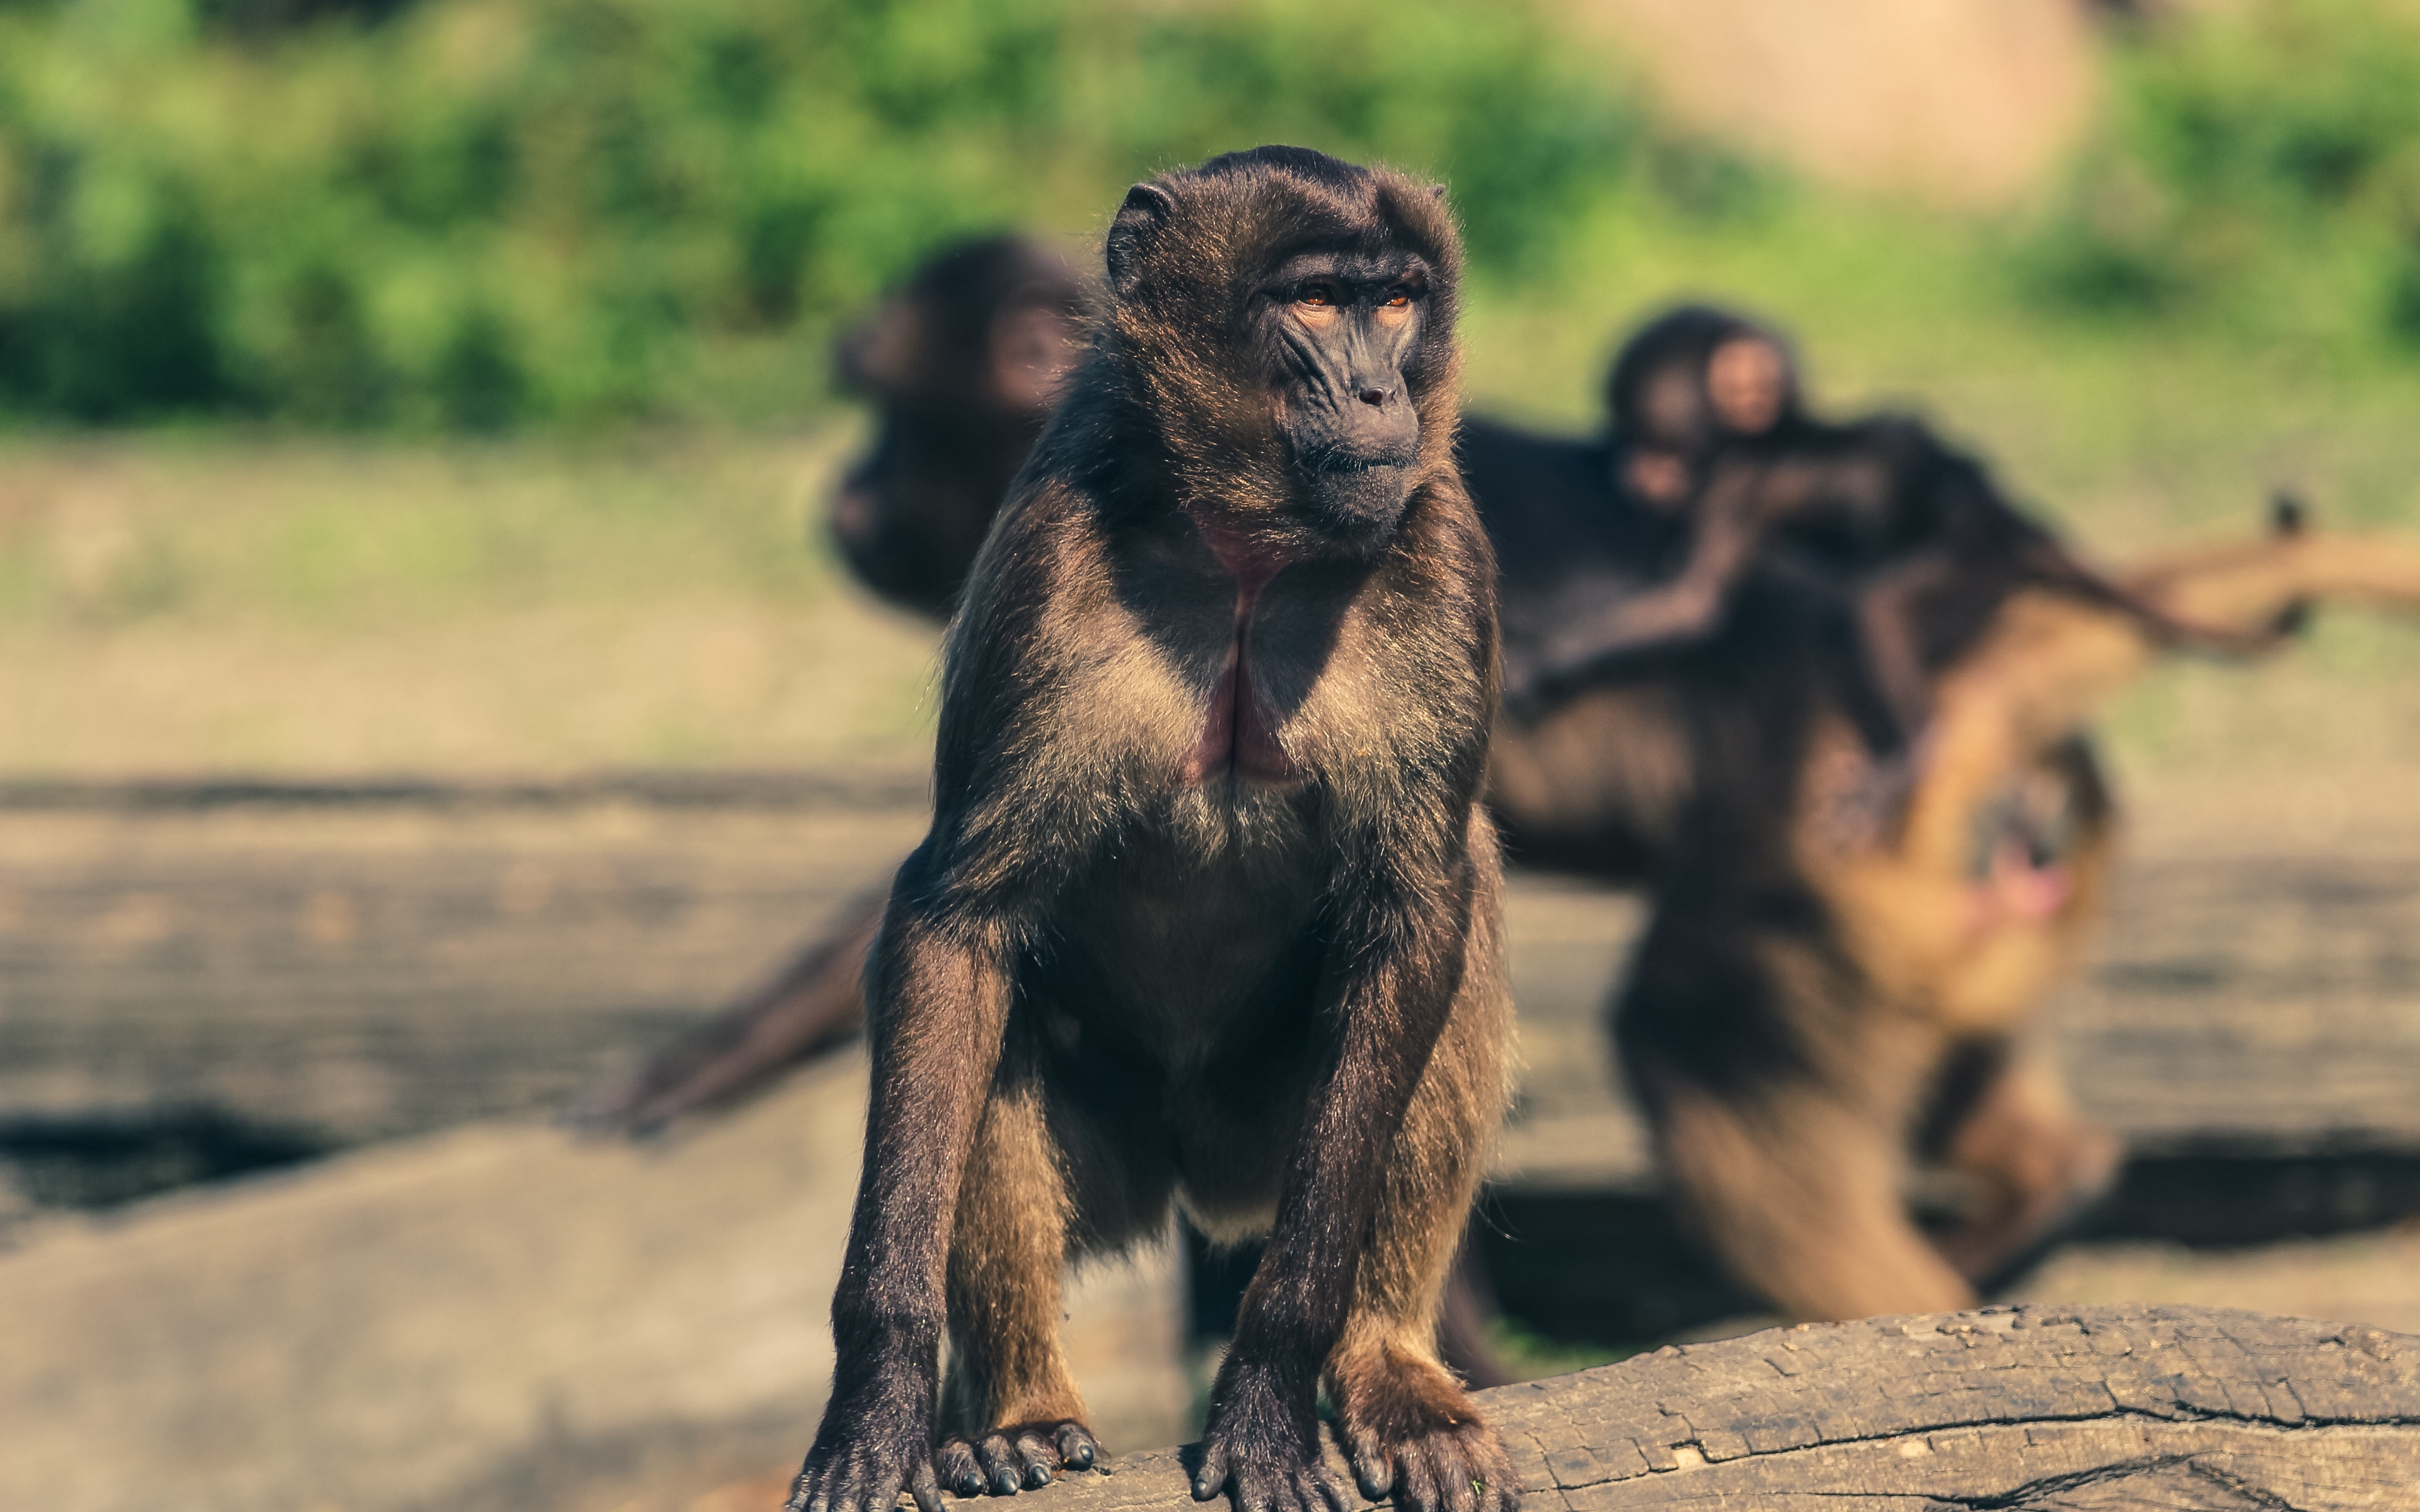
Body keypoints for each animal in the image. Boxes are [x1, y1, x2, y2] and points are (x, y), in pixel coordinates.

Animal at [785, 148, 1517, 1512]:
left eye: (1396, 299)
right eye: (1318, 300)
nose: (1382, 389)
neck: (1247, 557)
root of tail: (1197, 1182)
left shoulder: (1442, 548)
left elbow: (1416, 908)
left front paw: (1273, 1389)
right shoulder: (1045, 562)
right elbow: (955, 923)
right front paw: (878, 1398)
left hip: (1267, 1136)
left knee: (1461, 915)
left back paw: (1387, 1365)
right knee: (991, 1010)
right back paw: (1019, 1408)